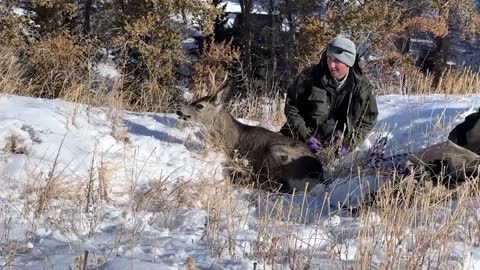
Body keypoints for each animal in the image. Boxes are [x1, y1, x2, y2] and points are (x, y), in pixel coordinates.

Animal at [176, 79, 322, 193]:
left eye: (200, 105)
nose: (179, 111)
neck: (230, 136)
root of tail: (317, 176)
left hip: (276, 151)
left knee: (277, 186)